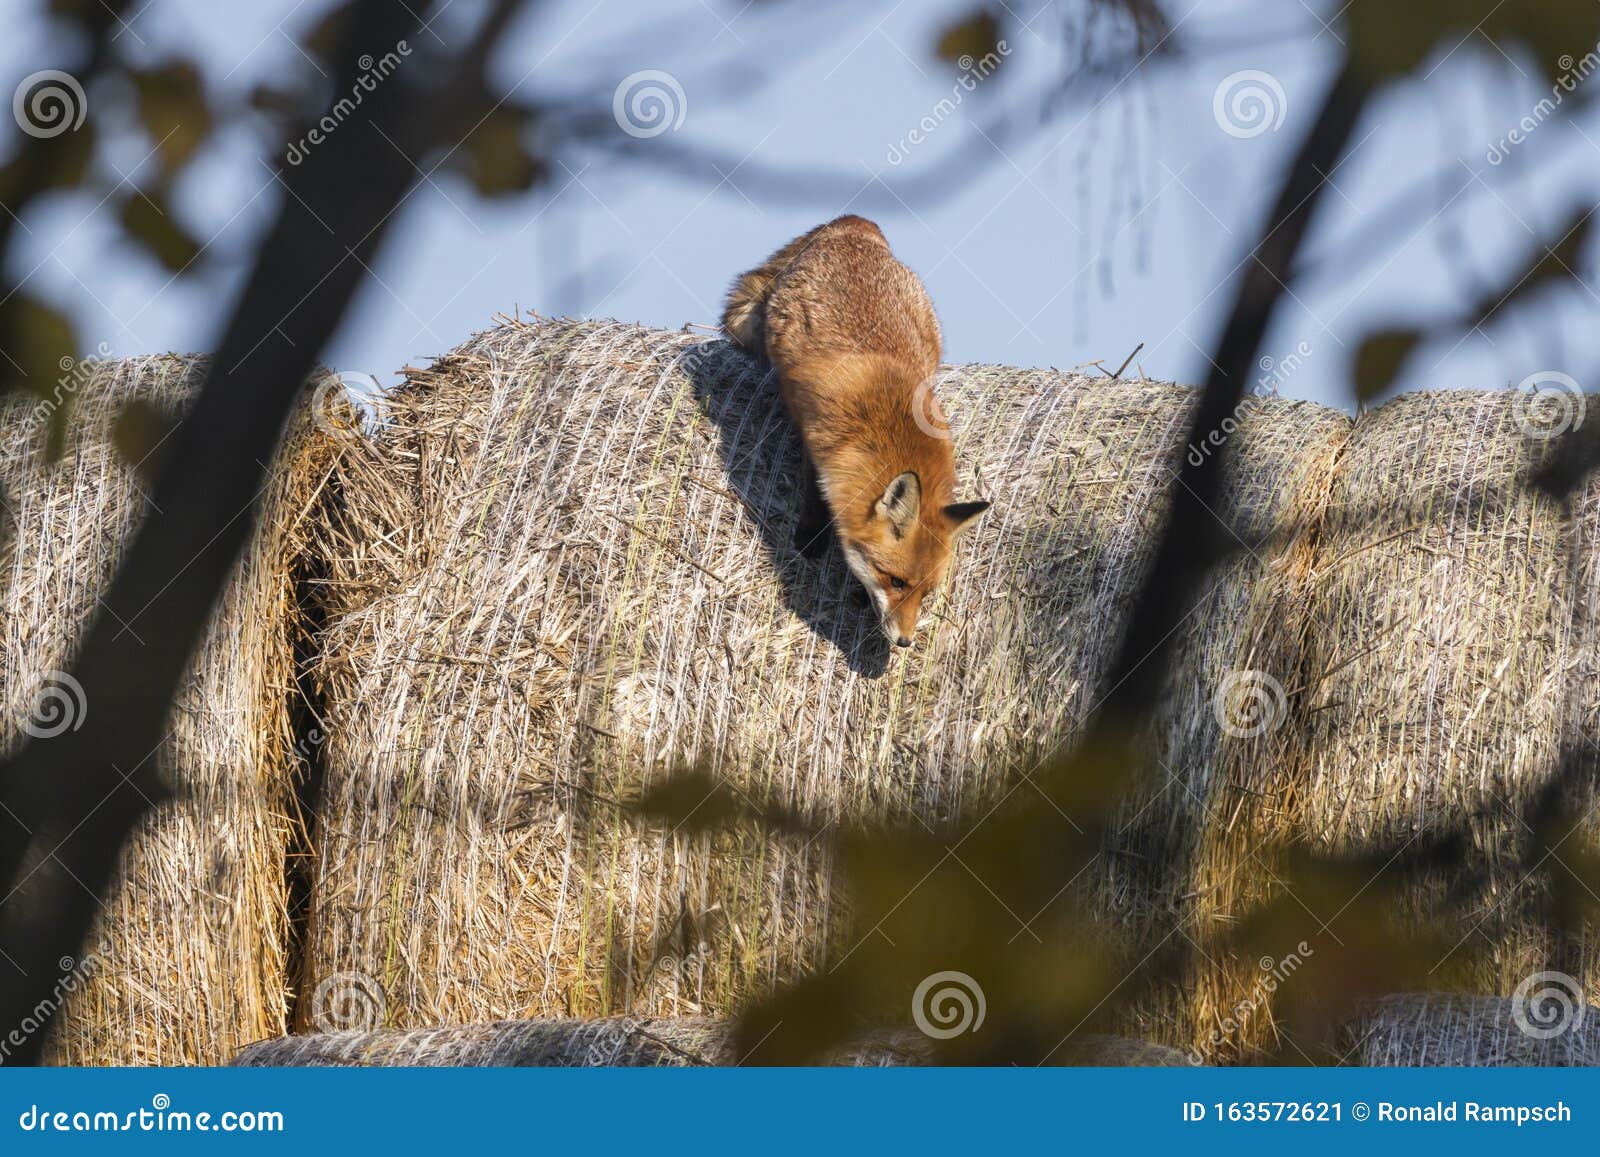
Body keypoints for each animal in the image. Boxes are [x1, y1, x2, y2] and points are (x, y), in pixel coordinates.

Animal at [721, 215, 990, 648]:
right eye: (896, 581)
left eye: (925, 593)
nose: (905, 642)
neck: (885, 422)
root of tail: (857, 224)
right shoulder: (814, 430)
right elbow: (813, 488)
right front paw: (811, 537)